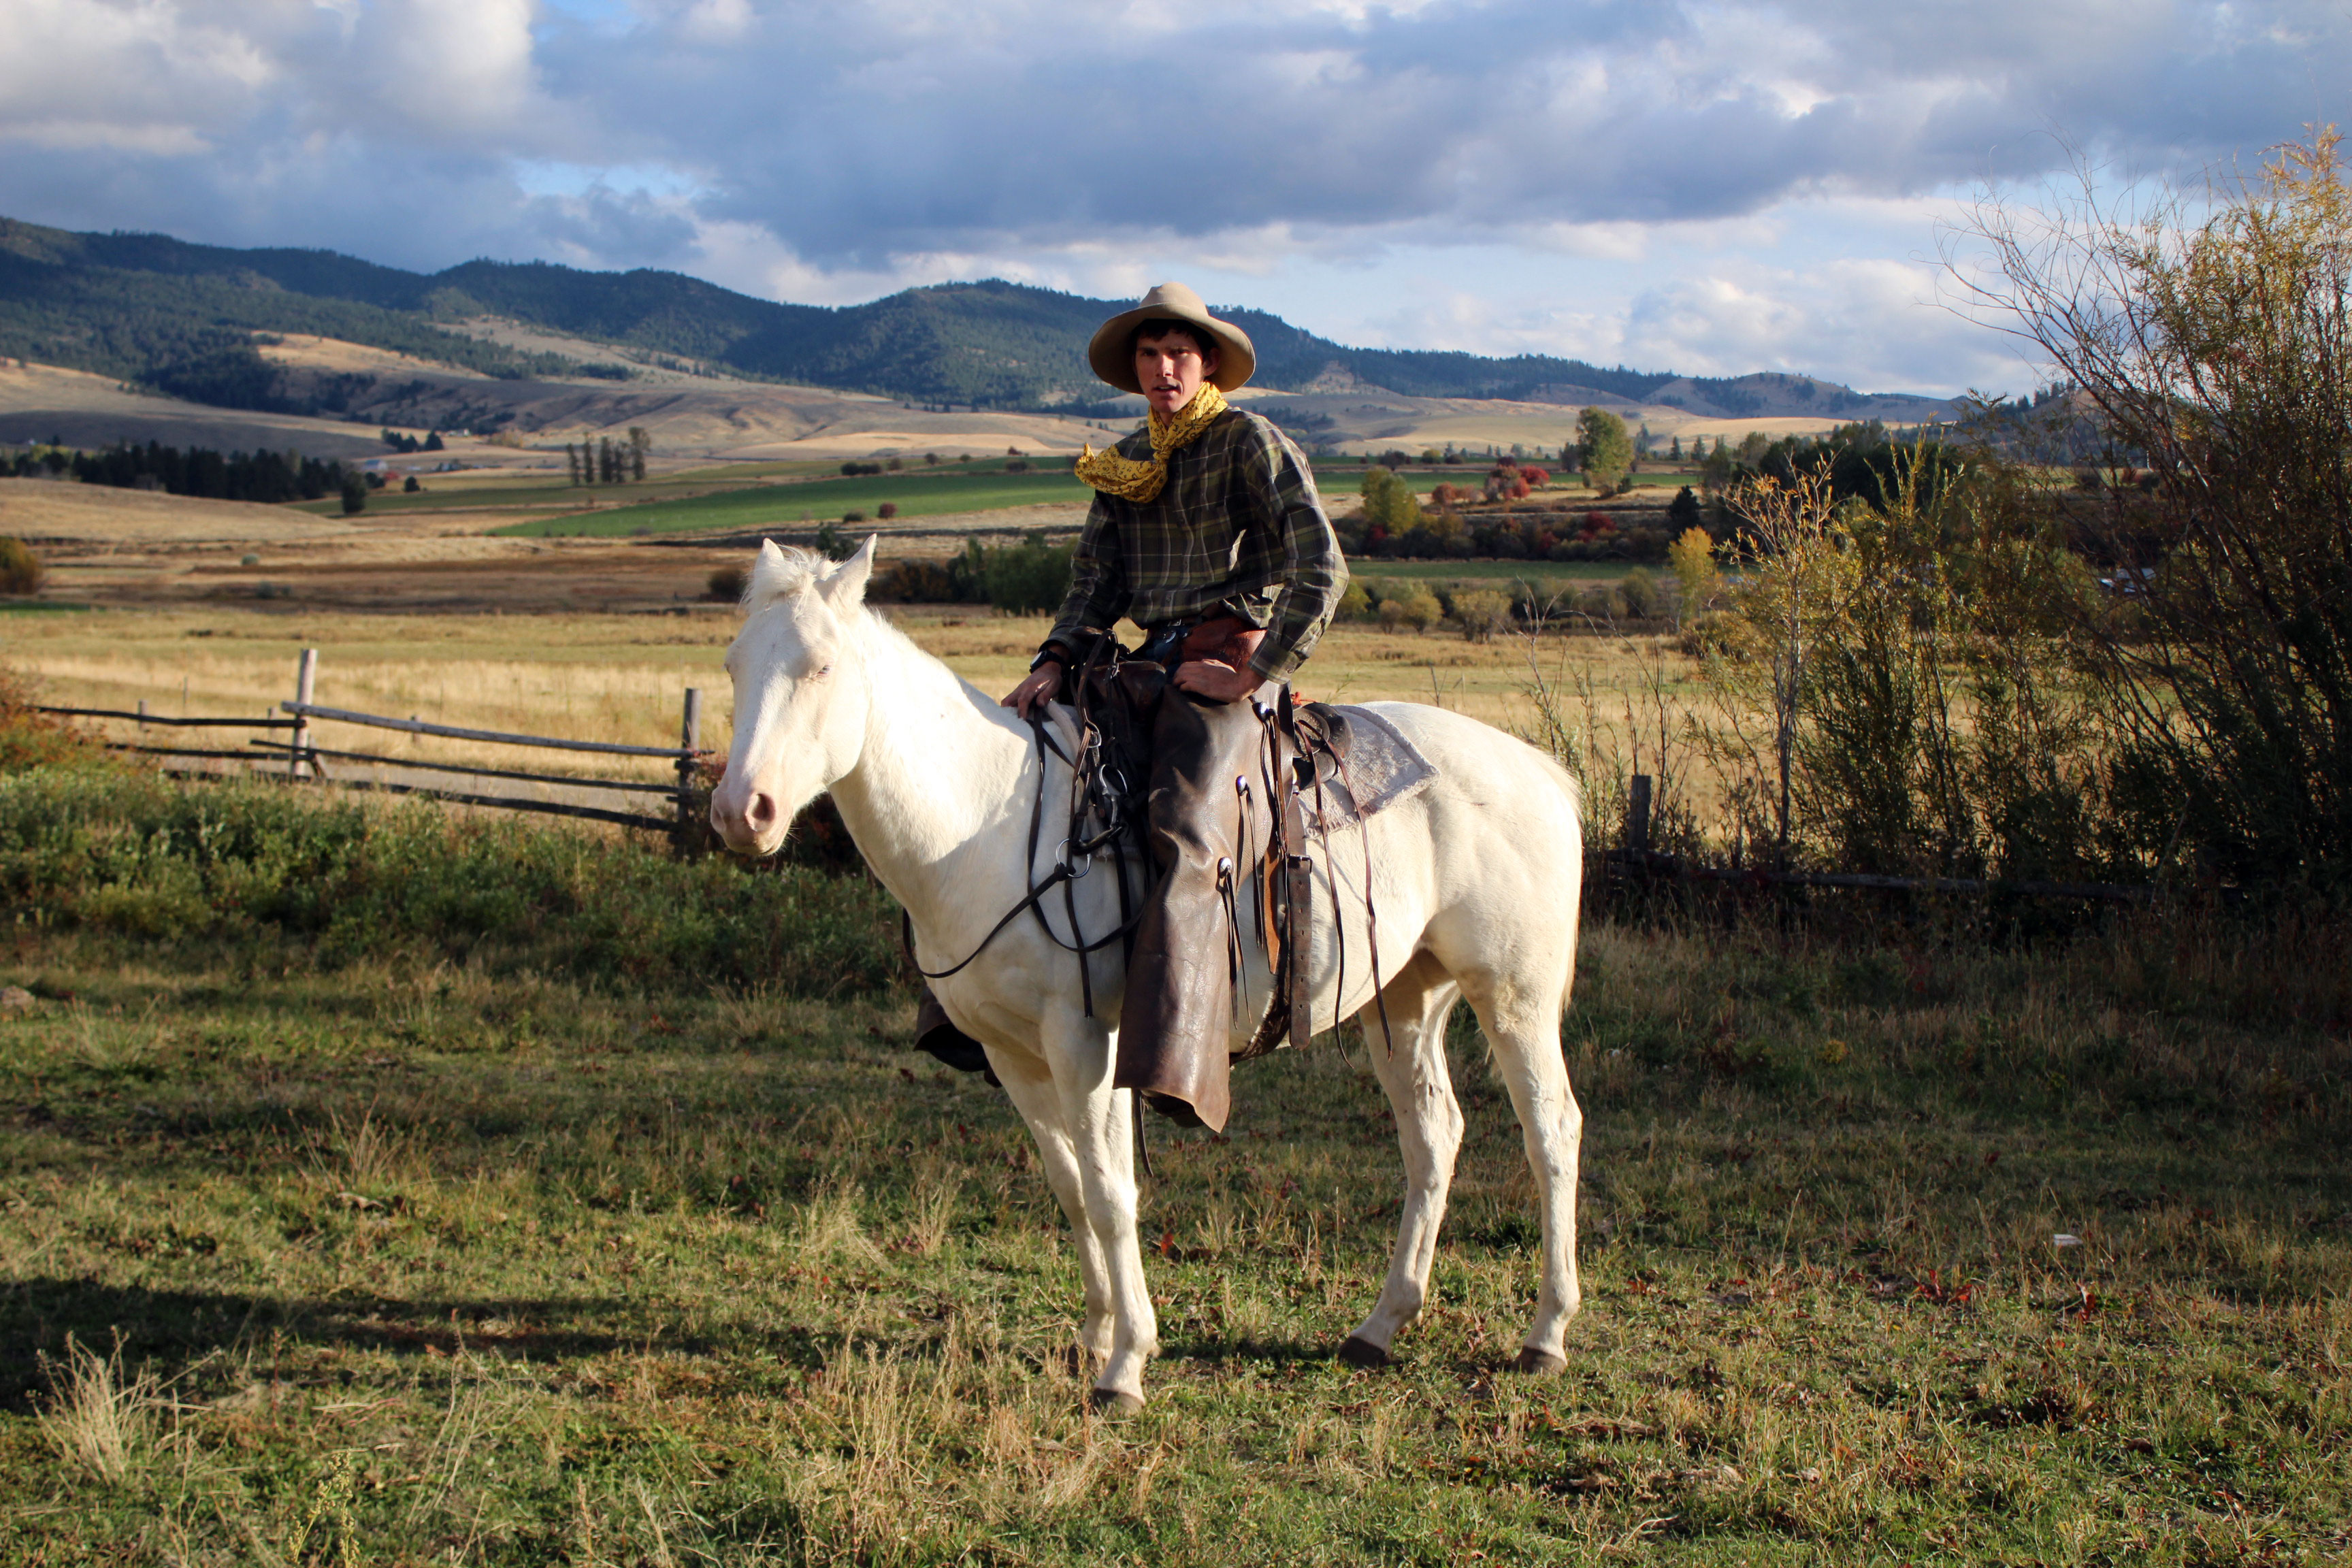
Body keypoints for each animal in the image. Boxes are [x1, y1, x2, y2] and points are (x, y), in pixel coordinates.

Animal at [705, 540, 1590, 1410]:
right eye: (734, 664)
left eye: (820, 667)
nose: (741, 813)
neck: (986, 827)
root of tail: (1540, 771)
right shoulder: (1012, 1055)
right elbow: (1069, 1188)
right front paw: (1096, 1333)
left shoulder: (1085, 1044)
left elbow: (1109, 1192)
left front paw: (1125, 1363)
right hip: (1406, 998)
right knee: (1433, 1135)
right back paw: (1381, 1325)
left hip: (1513, 996)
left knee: (1551, 1130)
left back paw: (1546, 1334)